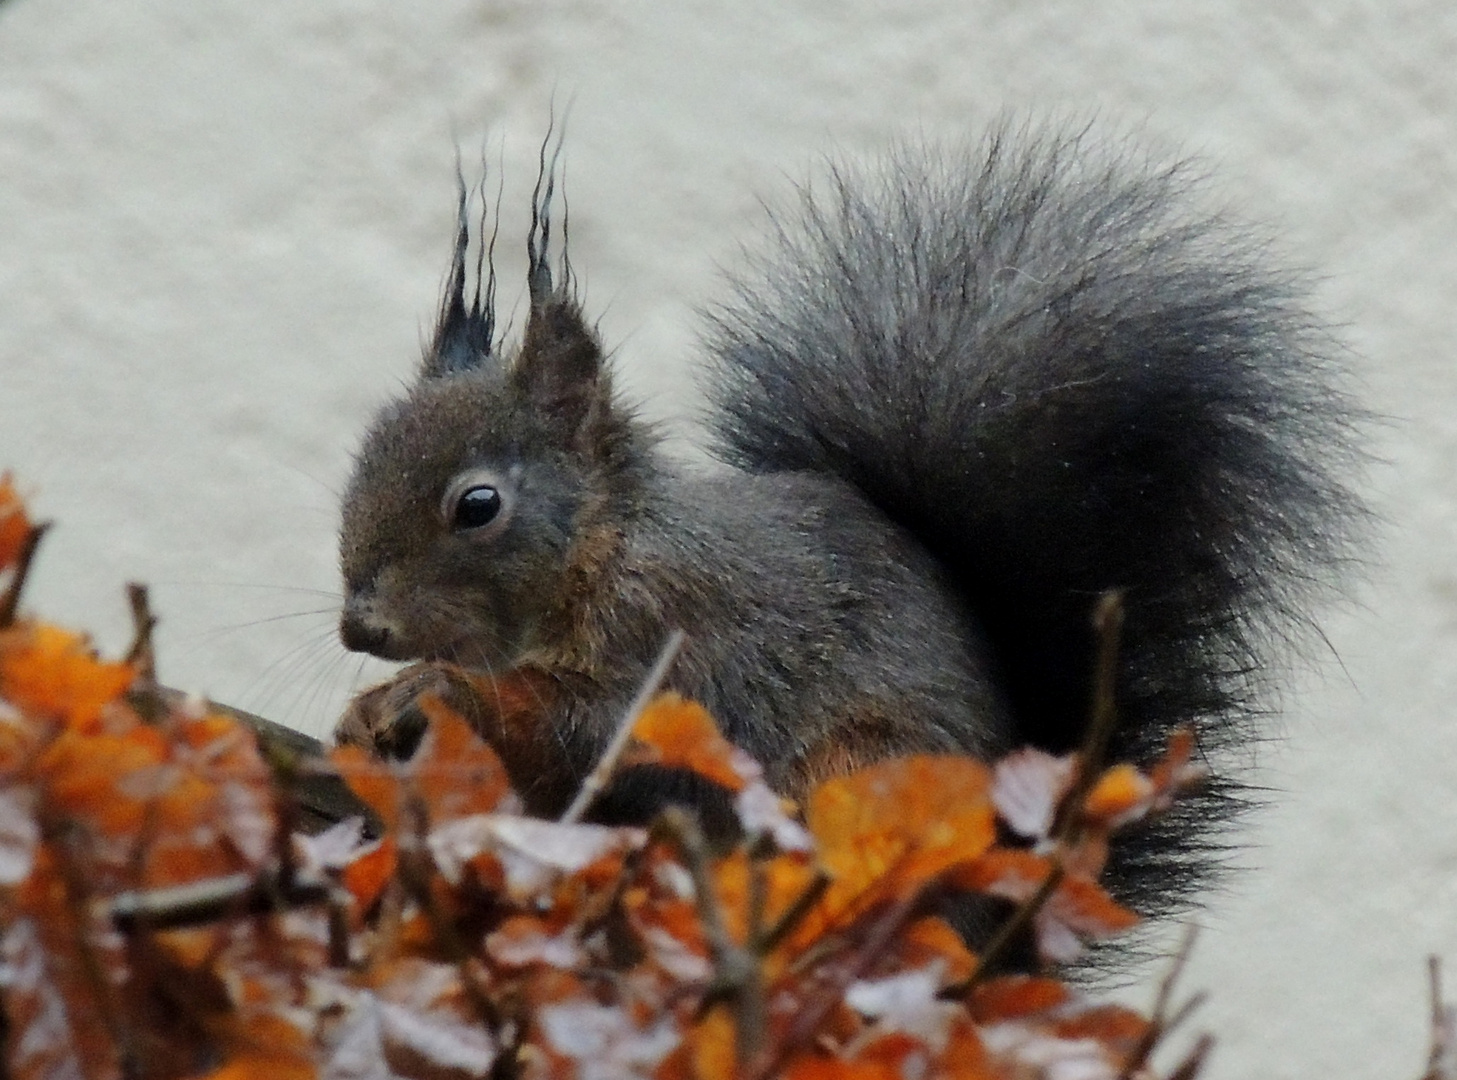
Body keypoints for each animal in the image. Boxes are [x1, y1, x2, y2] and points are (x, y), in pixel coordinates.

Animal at [330, 126, 1363, 932]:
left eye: (476, 506)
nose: (358, 627)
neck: (606, 551)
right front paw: (365, 713)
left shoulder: (676, 642)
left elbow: (580, 720)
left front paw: (432, 689)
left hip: (858, 780)